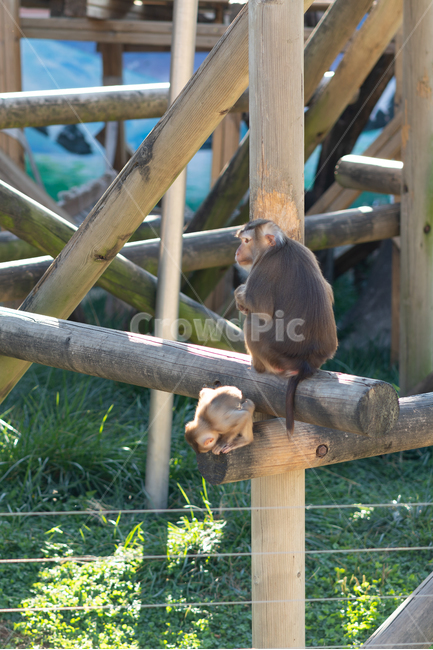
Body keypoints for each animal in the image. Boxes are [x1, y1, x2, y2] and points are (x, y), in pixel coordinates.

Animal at [234, 219, 338, 434]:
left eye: (246, 241)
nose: (237, 252)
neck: (279, 247)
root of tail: (305, 363)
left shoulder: (264, 268)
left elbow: (260, 308)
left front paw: (239, 294)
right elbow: (328, 290)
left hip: (274, 356)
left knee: (253, 321)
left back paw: (257, 366)